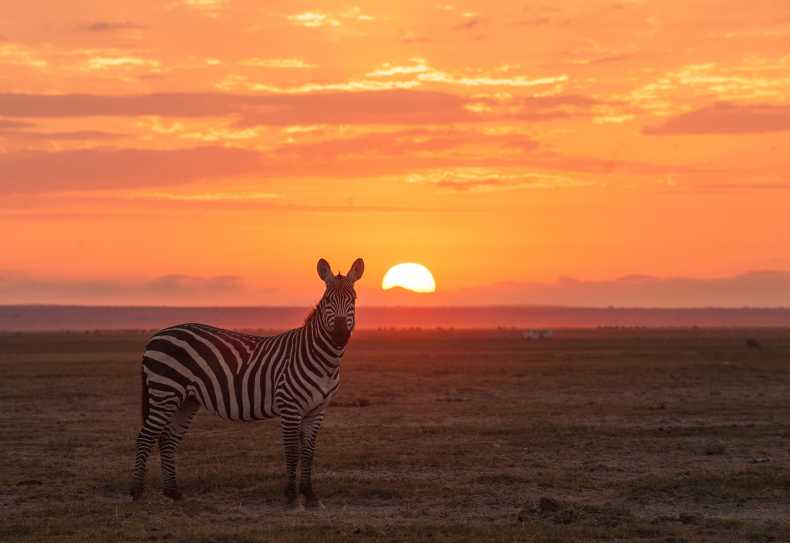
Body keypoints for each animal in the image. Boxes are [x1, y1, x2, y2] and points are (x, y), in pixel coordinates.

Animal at [129, 258, 364, 510]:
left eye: (353, 299)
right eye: (328, 300)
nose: (339, 334)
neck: (322, 360)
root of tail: (156, 336)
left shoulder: (317, 410)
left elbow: (309, 453)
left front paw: (310, 496)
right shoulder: (290, 406)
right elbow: (292, 452)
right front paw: (292, 496)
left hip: (186, 400)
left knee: (167, 440)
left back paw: (173, 492)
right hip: (165, 391)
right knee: (145, 437)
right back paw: (137, 492)